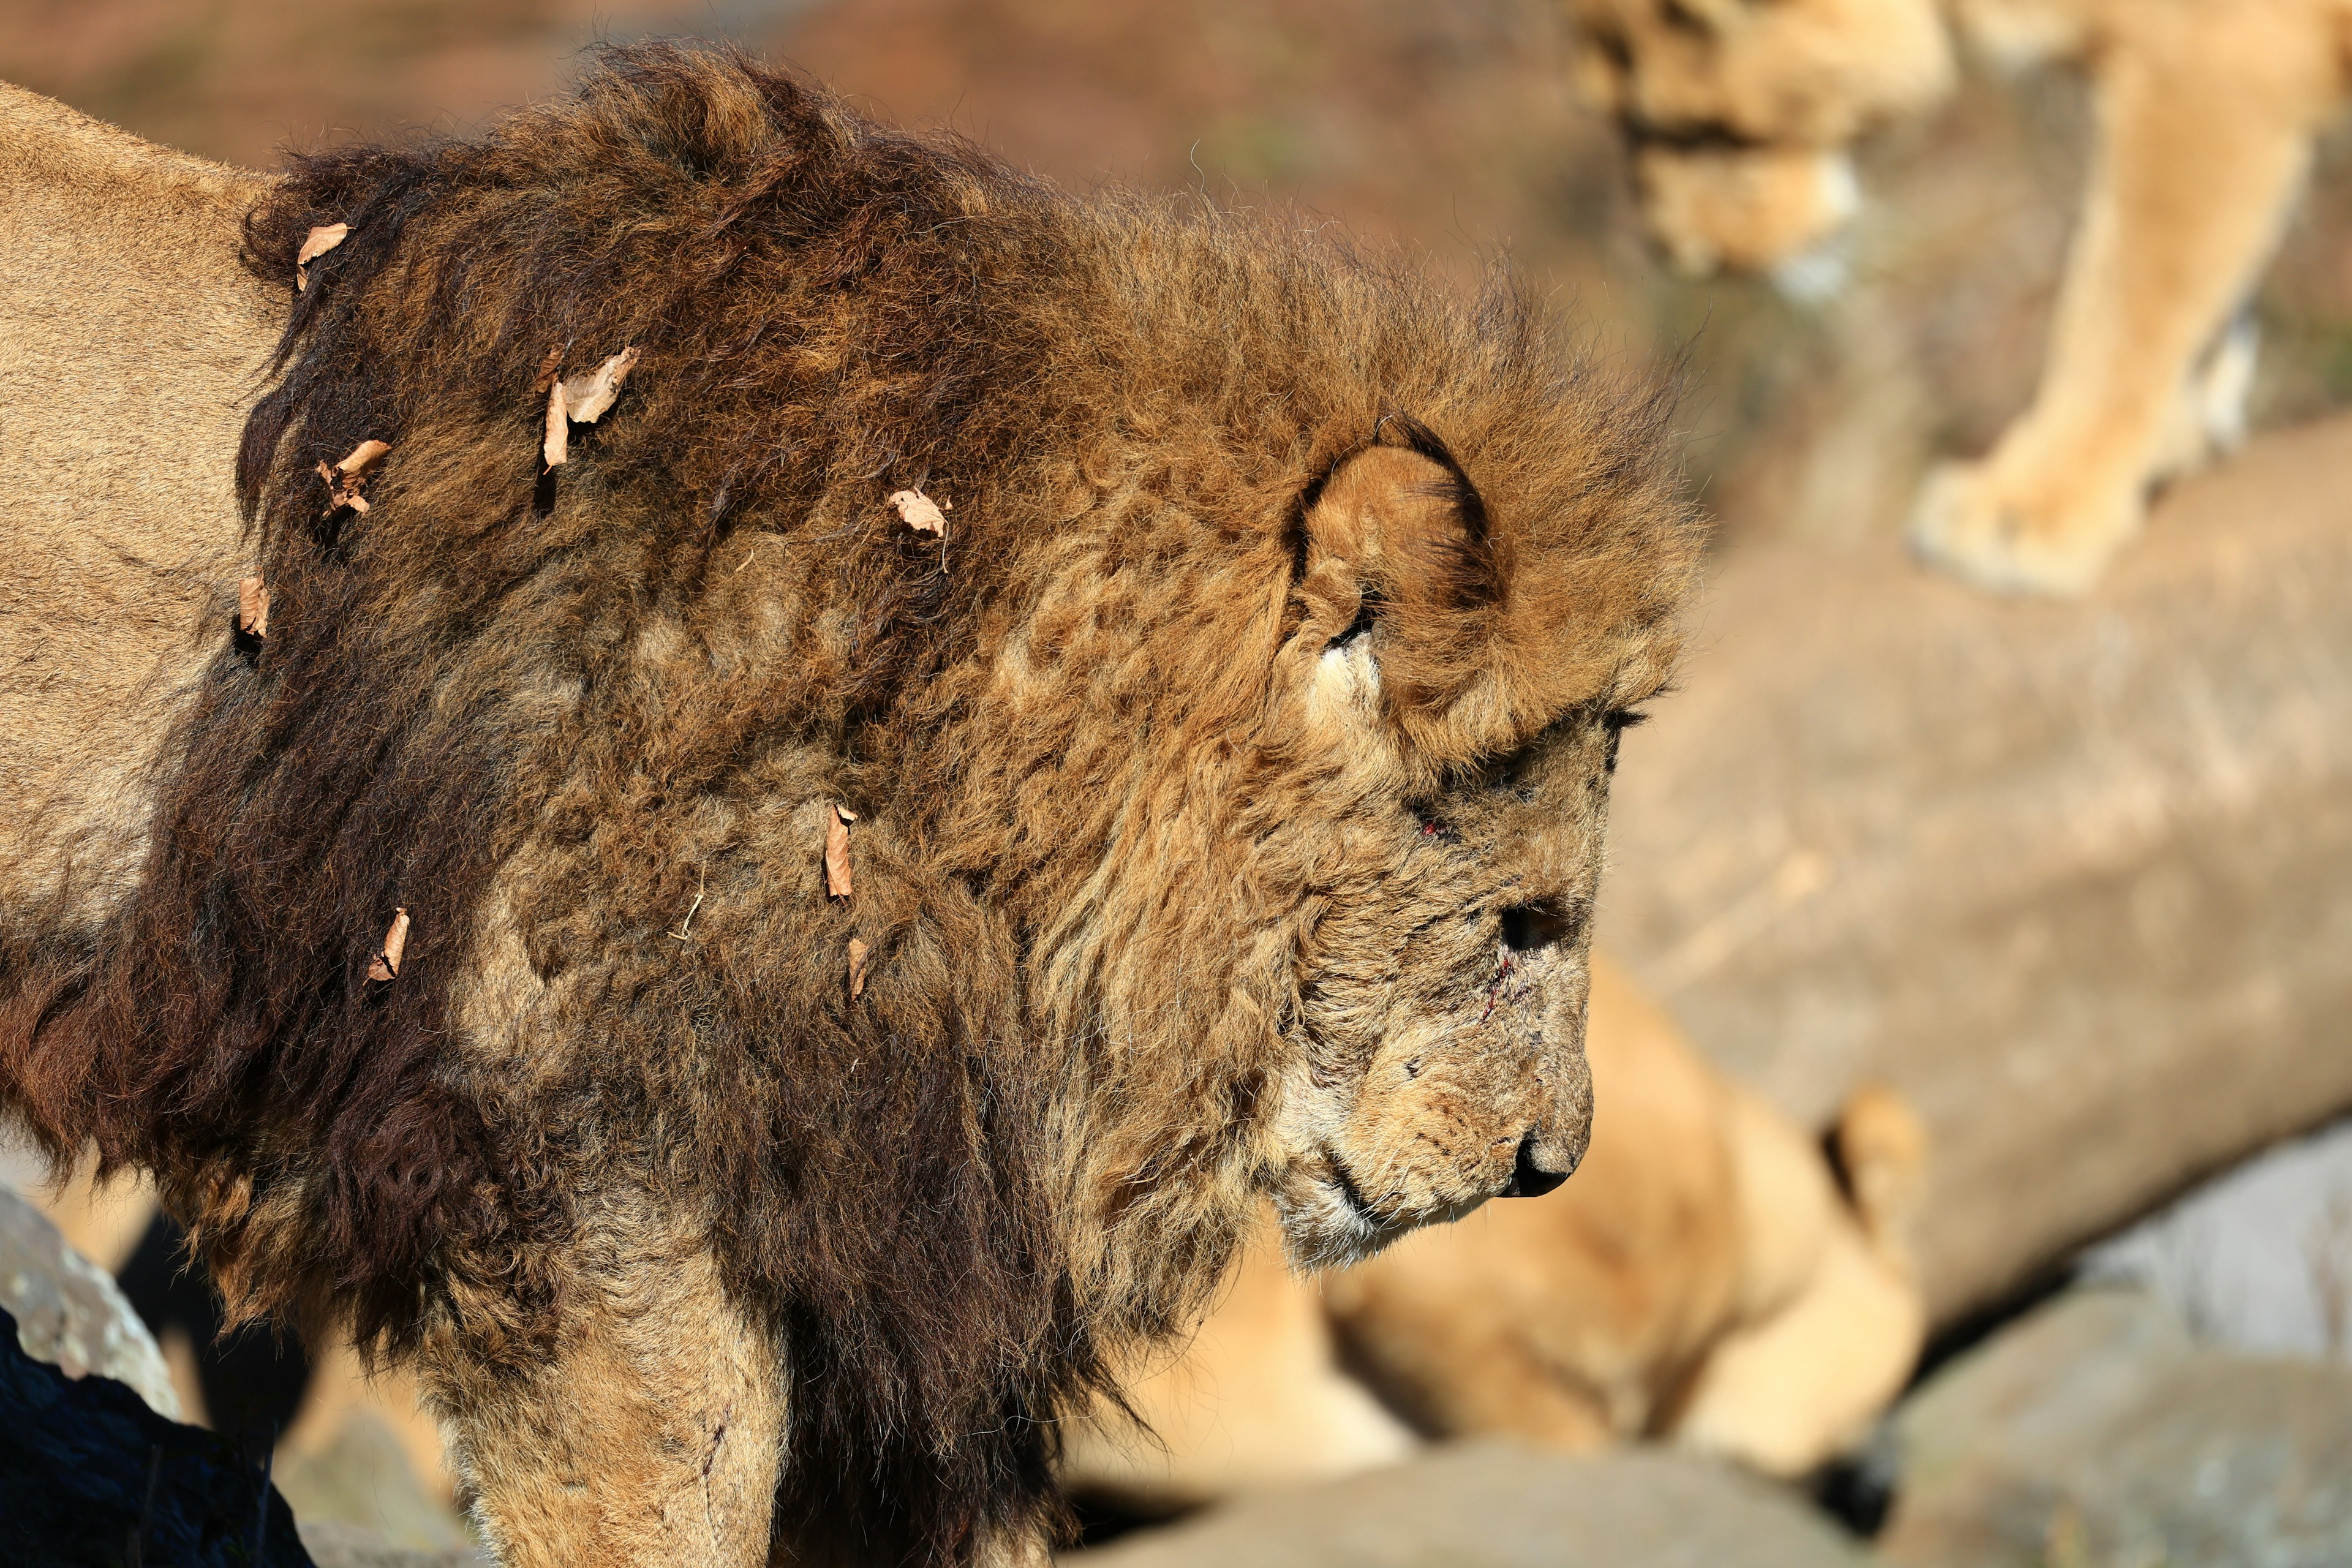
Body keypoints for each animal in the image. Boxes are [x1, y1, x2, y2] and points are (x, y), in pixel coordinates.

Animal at [1561, 0, 2352, 595]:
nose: (1677, 256)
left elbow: (2127, 298)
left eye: (1706, 134)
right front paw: (2176, 440)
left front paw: (2031, 508)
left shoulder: (2211, 54)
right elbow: (2204, 302)